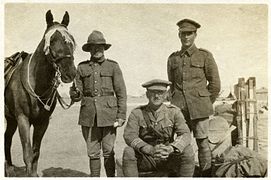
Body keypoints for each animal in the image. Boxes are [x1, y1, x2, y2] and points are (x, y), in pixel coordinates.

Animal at [4, 10, 77, 177]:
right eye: (53, 40)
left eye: (71, 41)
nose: (70, 73)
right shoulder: (22, 119)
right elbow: (27, 153)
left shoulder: (42, 122)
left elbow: (35, 152)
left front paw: (33, 173)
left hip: (11, 119)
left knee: (7, 137)